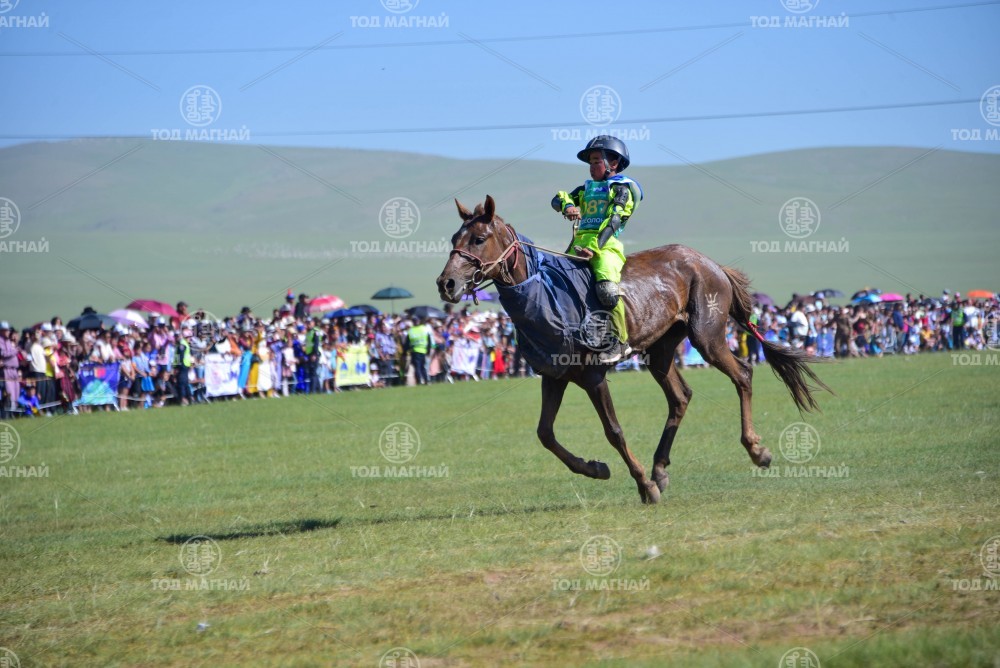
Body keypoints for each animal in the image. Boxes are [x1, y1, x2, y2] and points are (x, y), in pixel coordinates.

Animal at [436, 195, 830, 504]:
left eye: (479, 238)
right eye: (455, 237)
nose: (446, 283)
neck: (545, 295)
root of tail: (710, 263)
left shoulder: (593, 377)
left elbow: (614, 431)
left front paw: (642, 485)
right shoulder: (555, 376)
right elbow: (545, 434)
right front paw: (596, 468)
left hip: (707, 337)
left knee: (743, 374)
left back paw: (755, 450)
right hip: (660, 350)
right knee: (680, 397)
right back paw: (660, 468)